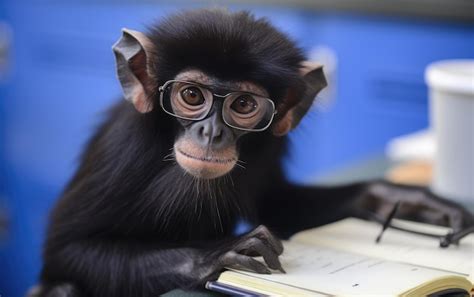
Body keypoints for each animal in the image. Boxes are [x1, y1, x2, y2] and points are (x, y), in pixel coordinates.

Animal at [31, 8, 472, 296]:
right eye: (192, 96)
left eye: (243, 104)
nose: (211, 133)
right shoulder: (124, 152)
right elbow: (68, 251)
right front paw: (215, 256)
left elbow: (279, 205)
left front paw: (399, 200)